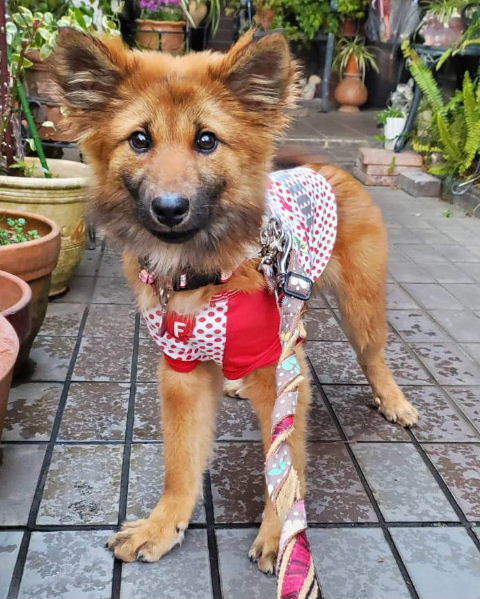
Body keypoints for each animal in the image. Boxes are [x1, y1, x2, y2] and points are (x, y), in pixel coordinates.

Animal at [51, 29, 418, 573]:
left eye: (207, 140)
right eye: (140, 140)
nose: (169, 208)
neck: (201, 271)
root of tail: (325, 165)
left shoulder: (277, 370)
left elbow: (283, 460)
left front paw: (280, 532)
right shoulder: (180, 369)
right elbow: (181, 461)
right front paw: (165, 524)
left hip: (362, 305)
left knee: (373, 357)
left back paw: (394, 401)